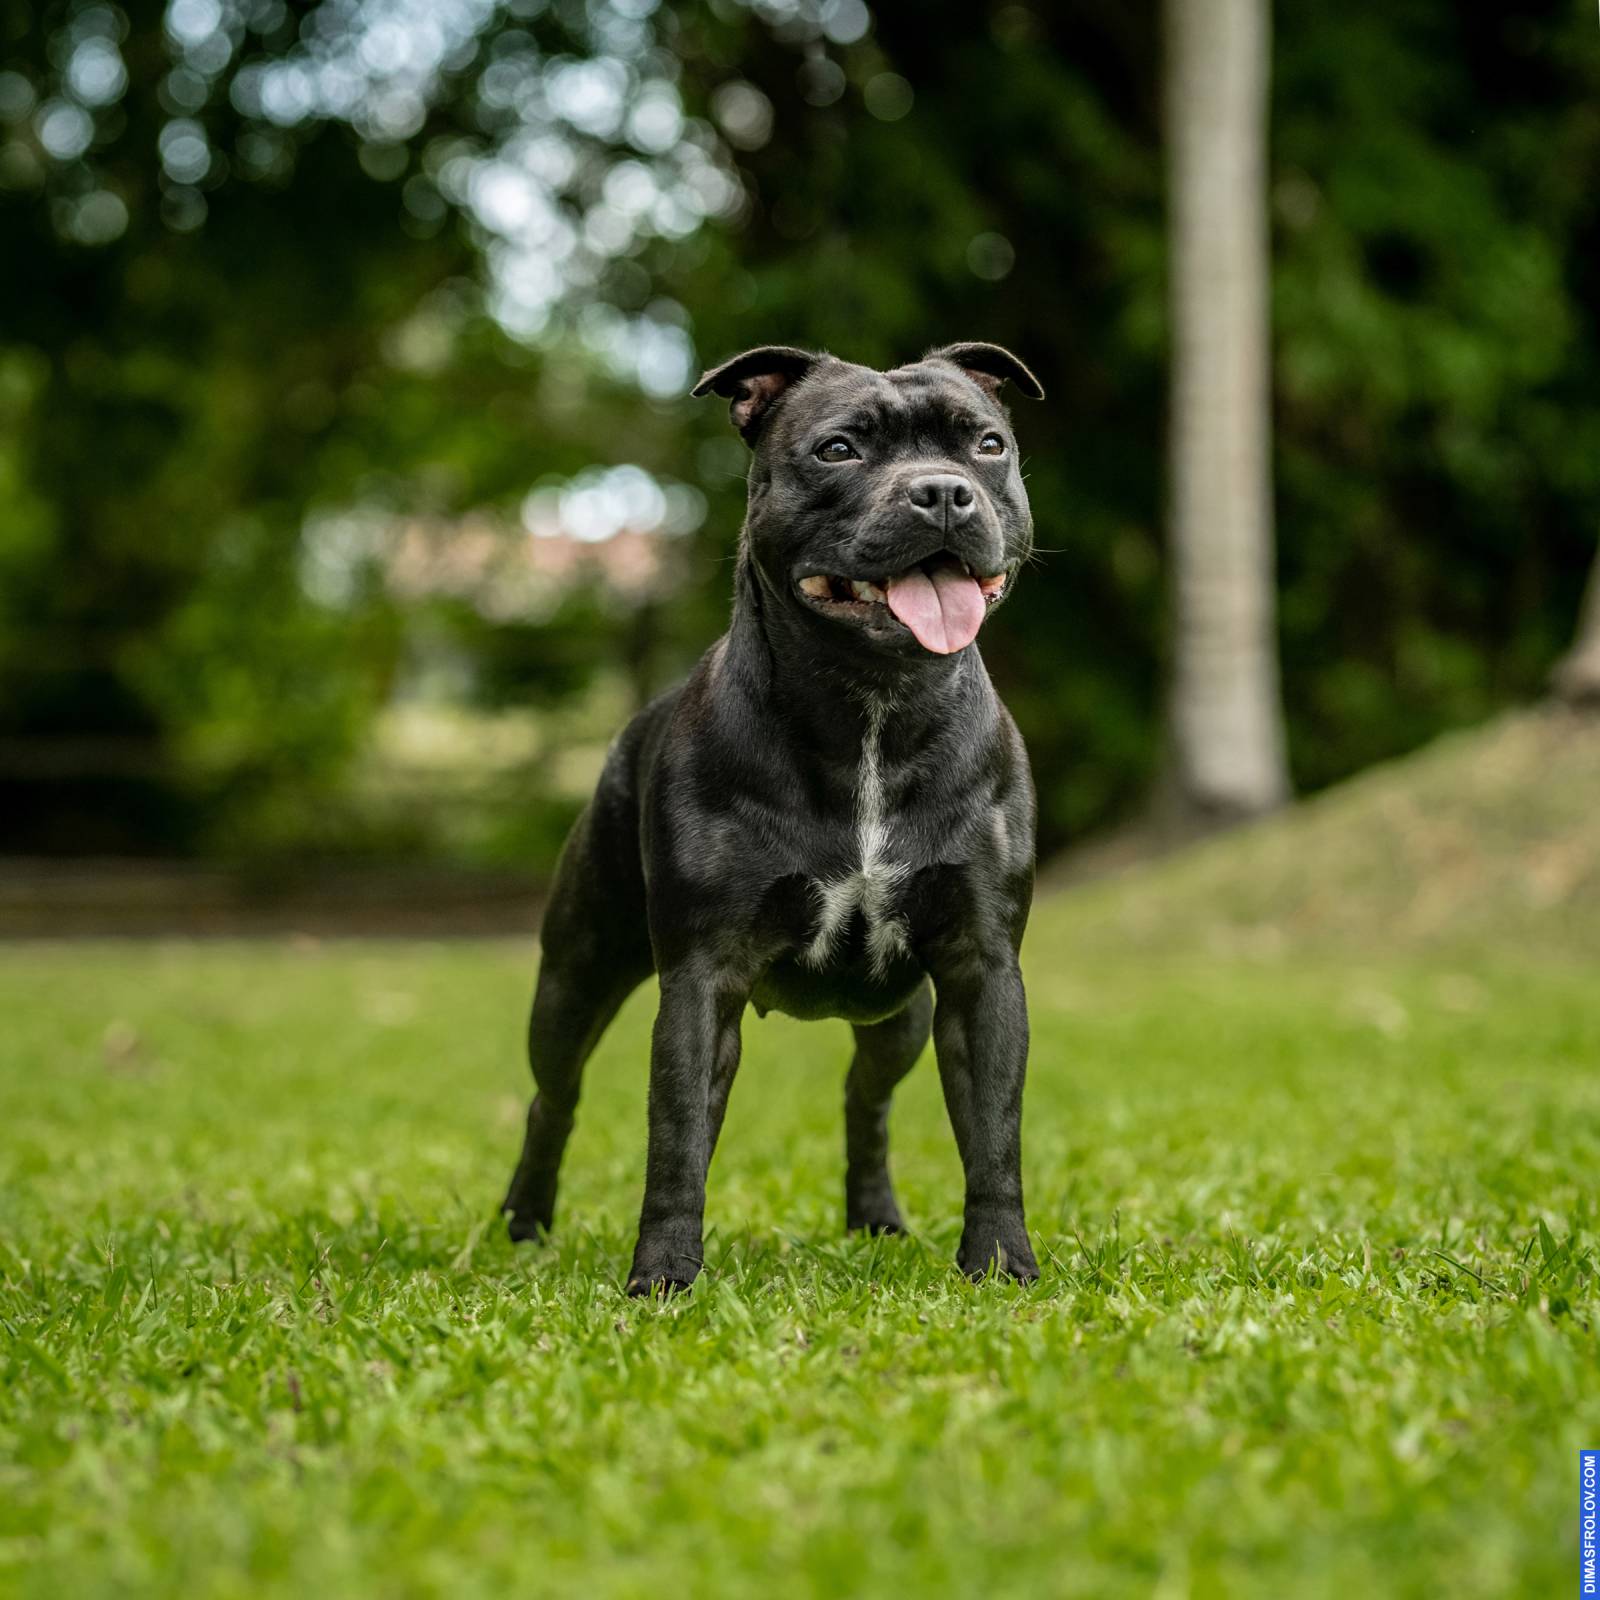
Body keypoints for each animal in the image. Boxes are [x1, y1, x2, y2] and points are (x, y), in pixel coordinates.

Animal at [501, 341, 1045, 1295]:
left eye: (986, 444)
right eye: (837, 450)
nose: (942, 492)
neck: (872, 709)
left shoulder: (981, 971)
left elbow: (993, 1136)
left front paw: (1000, 1262)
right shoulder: (700, 980)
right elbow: (678, 1139)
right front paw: (664, 1277)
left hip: (901, 1017)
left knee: (866, 1099)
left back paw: (875, 1216)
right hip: (574, 977)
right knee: (552, 1096)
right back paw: (527, 1221)